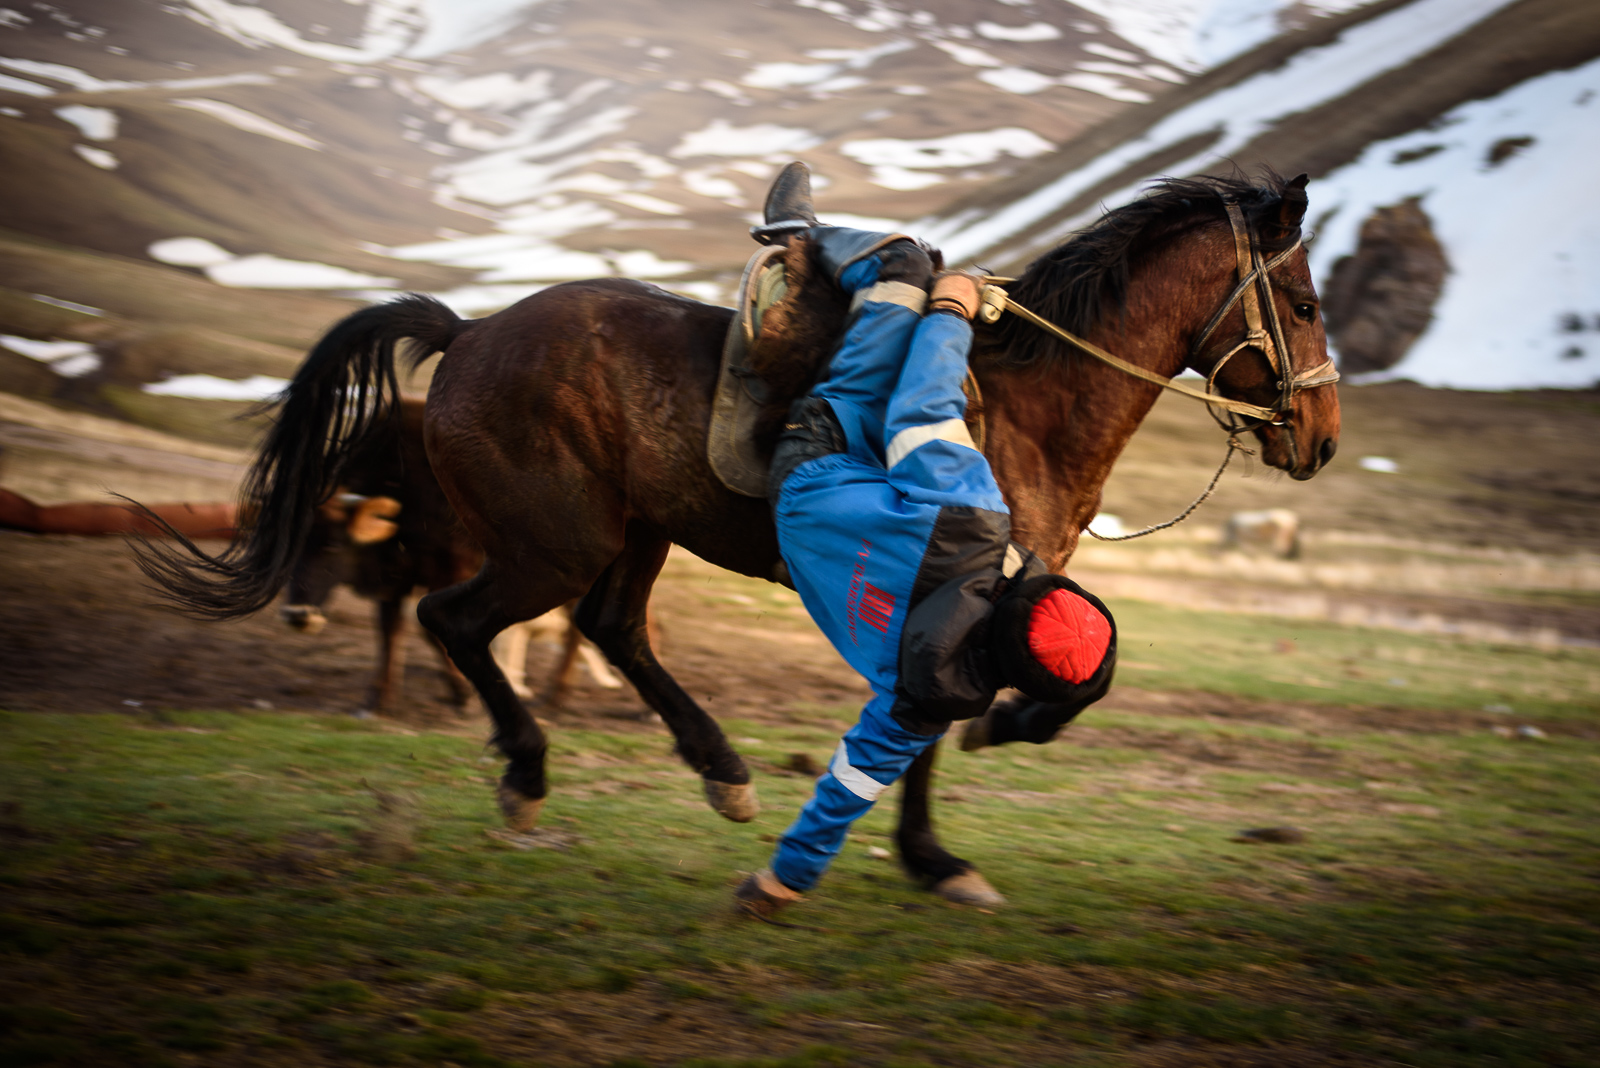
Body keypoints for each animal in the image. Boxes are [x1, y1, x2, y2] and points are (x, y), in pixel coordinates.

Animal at [140, 171, 1337, 908]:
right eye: (1308, 303)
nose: (1322, 439)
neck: (1028, 405)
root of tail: (470, 333)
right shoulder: (953, 591)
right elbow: (933, 730)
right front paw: (939, 853)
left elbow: (977, 714)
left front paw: (967, 796)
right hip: (556, 542)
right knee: (459, 620)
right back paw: (528, 773)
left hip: (632, 535)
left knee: (613, 631)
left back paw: (718, 769)